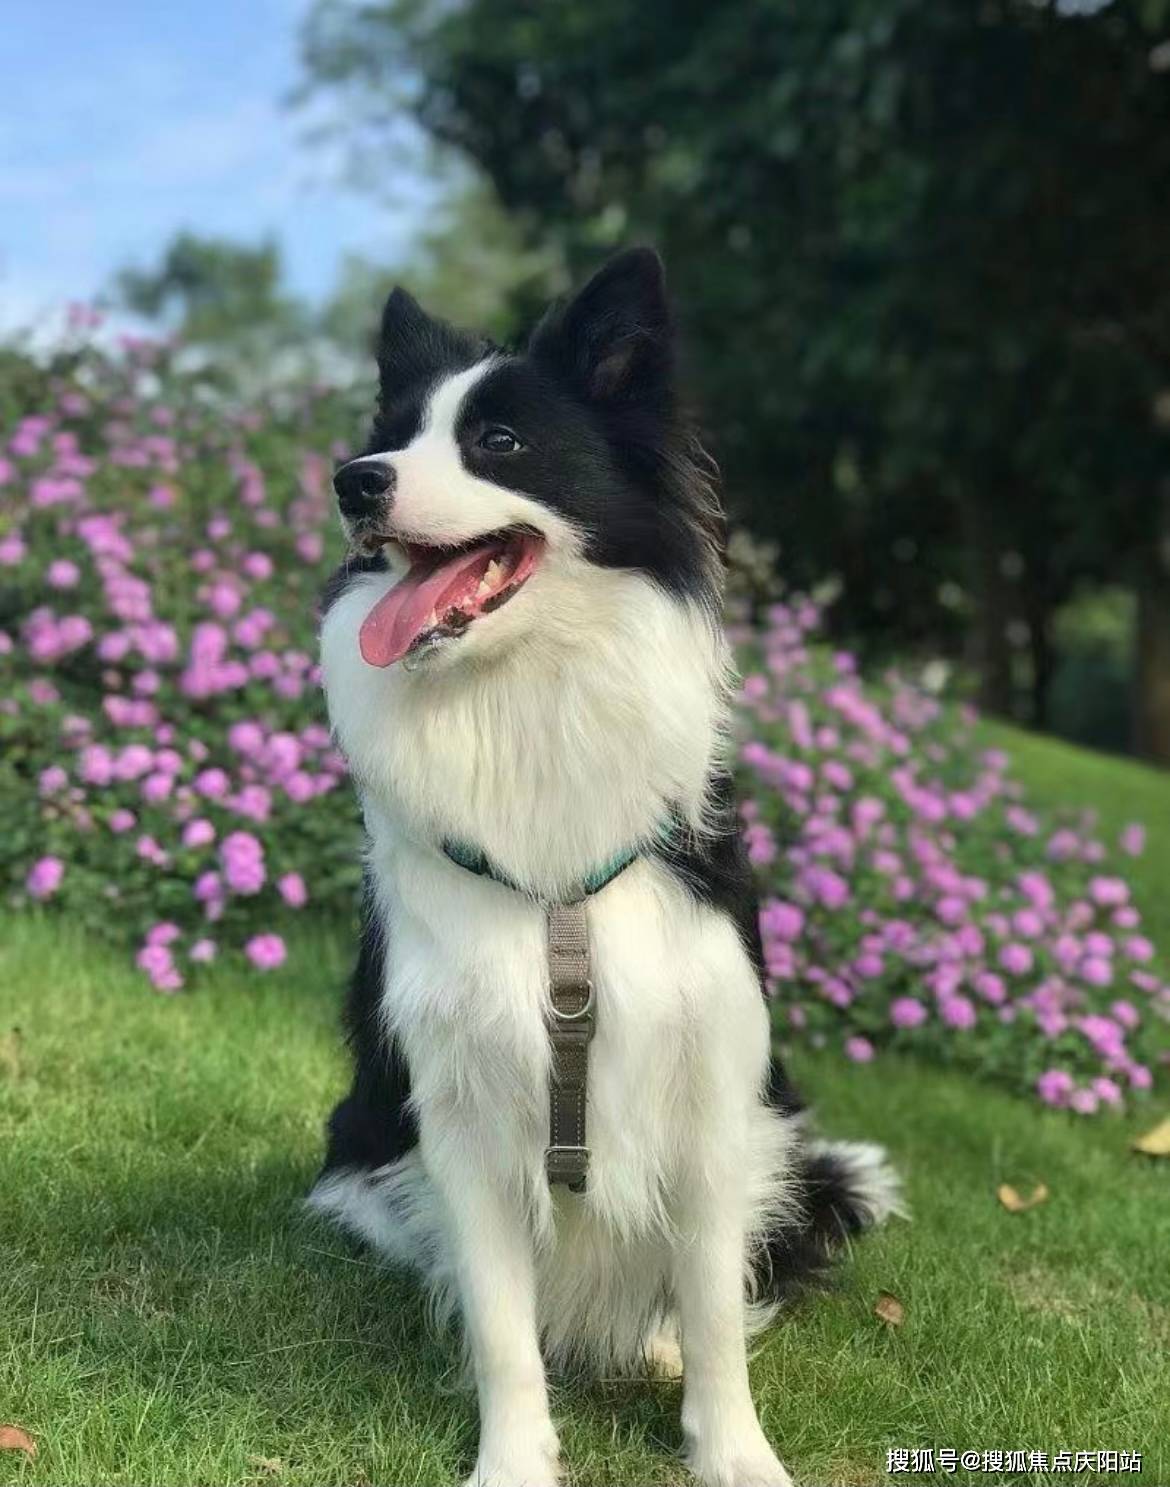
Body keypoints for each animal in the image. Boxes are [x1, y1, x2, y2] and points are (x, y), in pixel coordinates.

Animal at [306, 252, 903, 1487]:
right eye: (395, 435)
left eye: (499, 440)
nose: (353, 482)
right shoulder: (462, 1107)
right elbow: (499, 1321)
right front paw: (516, 1459)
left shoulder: (713, 1086)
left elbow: (717, 1308)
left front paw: (734, 1451)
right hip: (364, 1151)